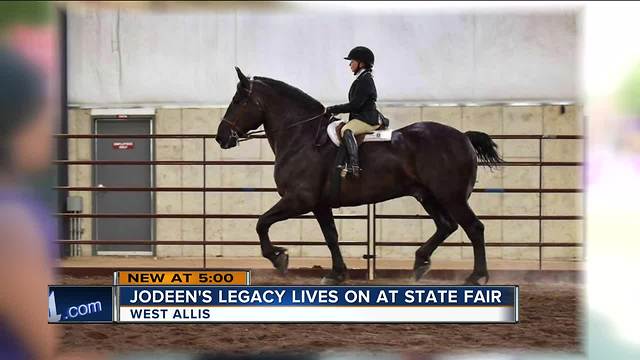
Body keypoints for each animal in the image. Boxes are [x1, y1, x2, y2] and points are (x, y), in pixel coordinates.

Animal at [216, 67, 504, 284]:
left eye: (238, 101)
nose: (221, 137)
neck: (302, 137)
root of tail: (463, 137)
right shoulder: (320, 205)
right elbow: (331, 237)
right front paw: (337, 274)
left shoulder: (299, 200)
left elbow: (261, 222)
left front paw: (278, 258)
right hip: (427, 195)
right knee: (446, 226)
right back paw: (420, 263)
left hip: (451, 197)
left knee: (473, 228)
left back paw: (476, 276)